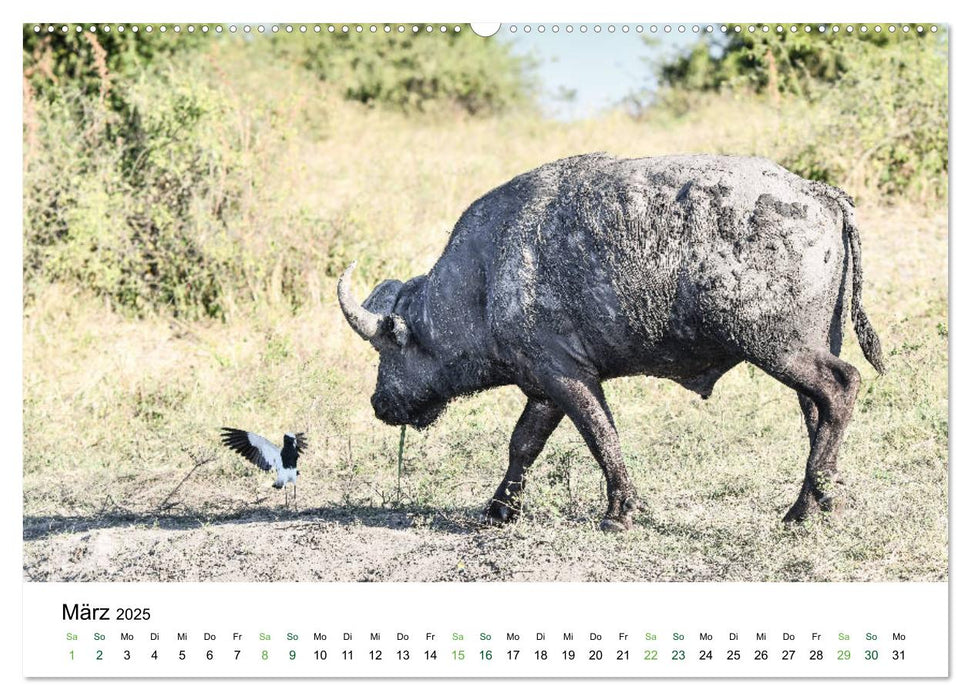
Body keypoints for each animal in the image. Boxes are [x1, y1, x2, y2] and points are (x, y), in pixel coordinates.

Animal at [338, 154, 884, 532]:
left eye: (387, 347)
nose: (380, 404)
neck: (485, 277)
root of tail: (819, 192)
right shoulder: (543, 385)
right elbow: (523, 445)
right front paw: (499, 509)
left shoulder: (569, 376)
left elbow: (601, 436)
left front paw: (621, 511)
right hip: (811, 342)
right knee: (817, 411)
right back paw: (821, 500)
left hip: (775, 345)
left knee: (841, 387)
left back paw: (803, 506)